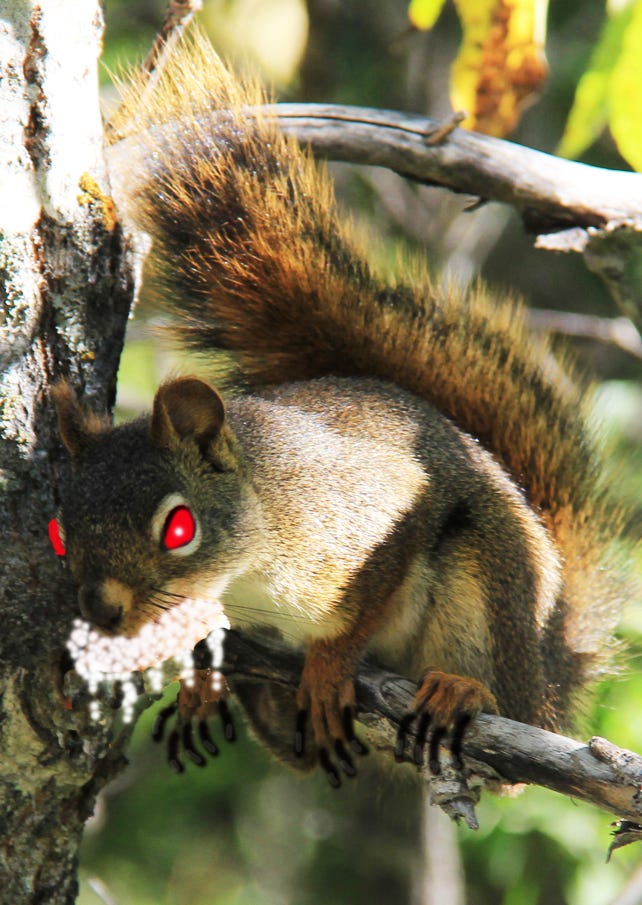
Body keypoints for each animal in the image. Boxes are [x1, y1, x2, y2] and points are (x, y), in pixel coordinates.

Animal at [52, 32, 630, 786]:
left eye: (178, 529)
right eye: (61, 531)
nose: (102, 610)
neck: (247, 571)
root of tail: (551, 678)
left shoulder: (371, 516)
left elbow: (367, 598)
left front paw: (327, 669)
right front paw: (200, 675)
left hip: (489, 584)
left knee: (504, 728)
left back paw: (462, 690)